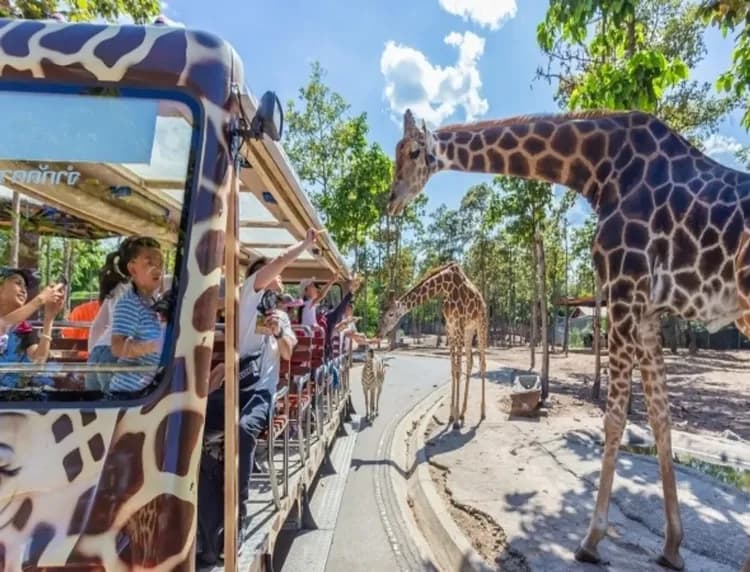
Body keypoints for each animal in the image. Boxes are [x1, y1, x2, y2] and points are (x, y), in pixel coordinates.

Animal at [378, 262, 490, 426]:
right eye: (382, 314)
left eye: (391, 314)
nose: (379, 333)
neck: (447, 286)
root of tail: (483, 302)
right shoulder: (450, 328)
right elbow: (453, 370)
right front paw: (452, 415)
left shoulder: (459, 326)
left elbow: (458, 369)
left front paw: (455, 419)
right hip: (469, 331)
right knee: (470, 362)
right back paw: (463, 412)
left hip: (480, 325)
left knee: (482, 363)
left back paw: (482, 413)